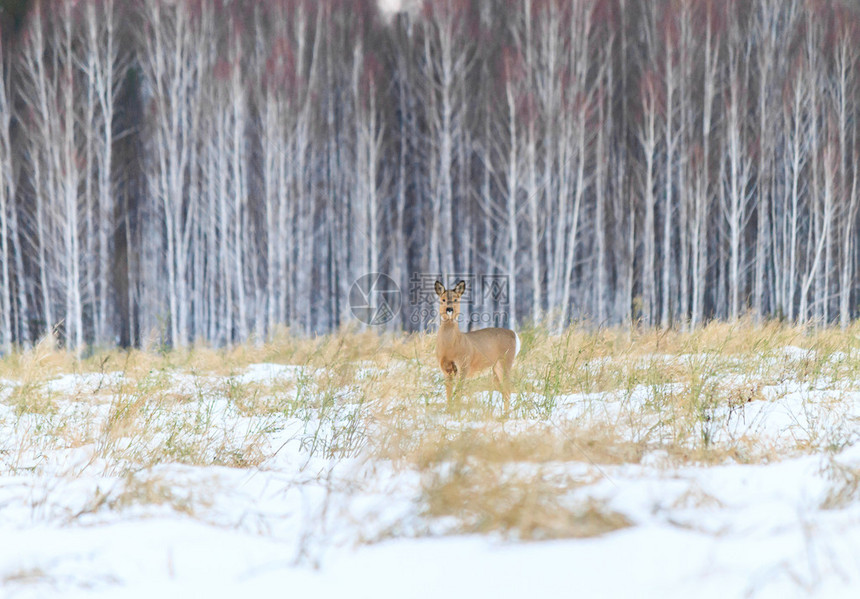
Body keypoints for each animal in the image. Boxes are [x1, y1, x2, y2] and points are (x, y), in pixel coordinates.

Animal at [434, 280, 520, 412]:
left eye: (455, 299)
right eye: (443, 299)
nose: (449, 309)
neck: (450, 347)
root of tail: (514, 334)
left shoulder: (464, 364)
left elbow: (457, 393)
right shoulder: (445, 369)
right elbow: (448, 394)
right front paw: (449, 411)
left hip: (506, 361)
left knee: (508, 389)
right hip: (496, 367)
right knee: (505, 390)